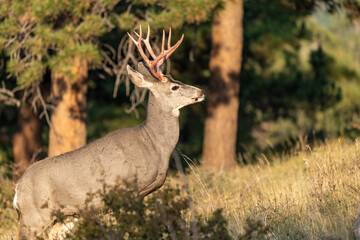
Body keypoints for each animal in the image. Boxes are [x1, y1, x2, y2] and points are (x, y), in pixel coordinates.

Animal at [14, 25, 205, 239]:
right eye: (174, 86)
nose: (201, 92)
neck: (154, 145)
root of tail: (17, 190)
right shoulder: (125, 187)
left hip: (65, 216)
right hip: (34, 216)